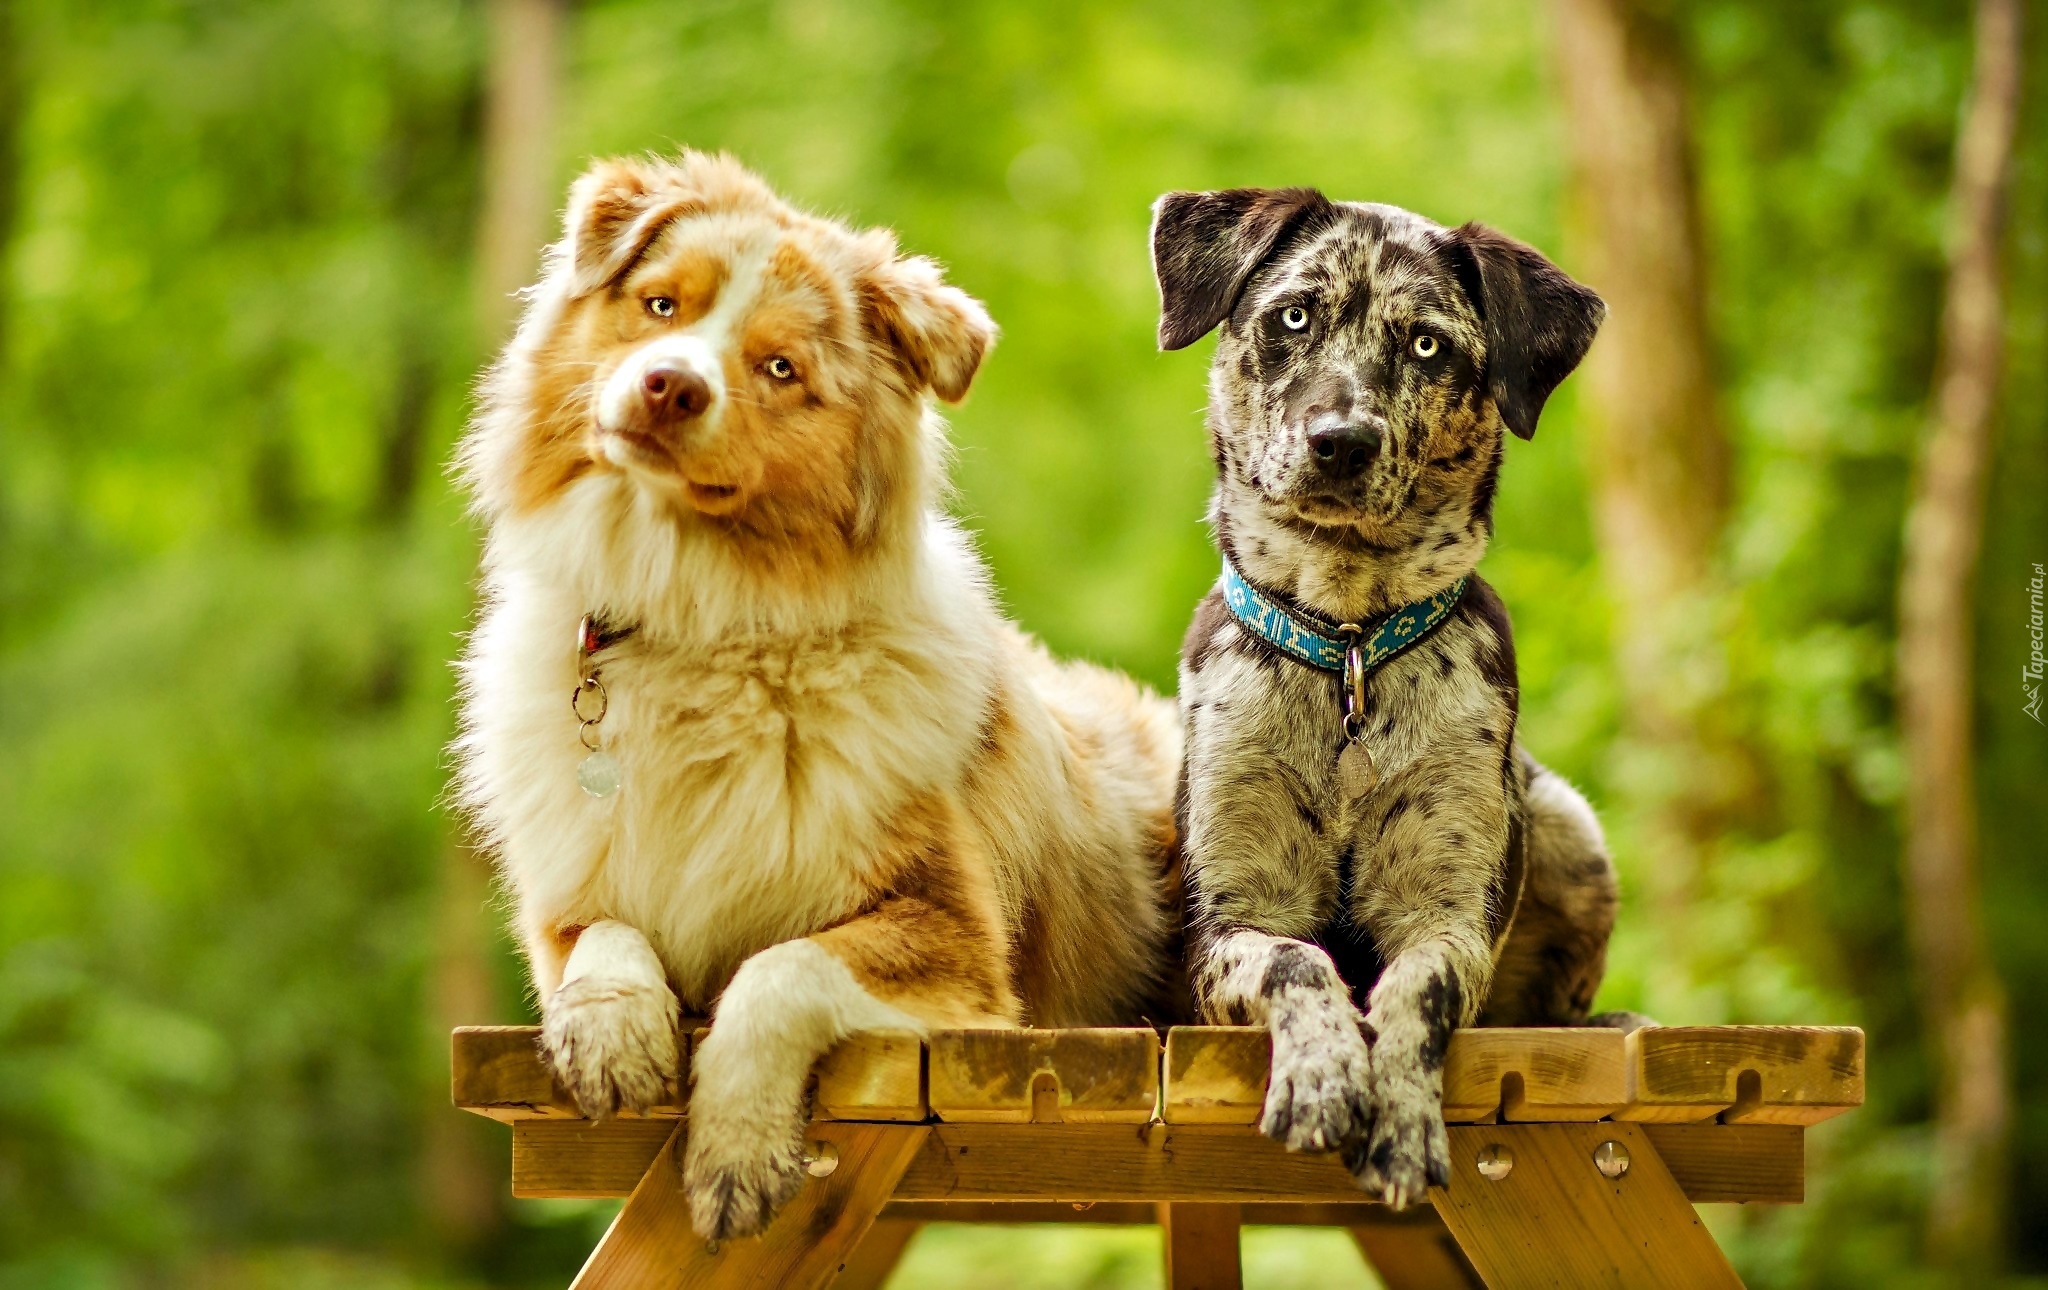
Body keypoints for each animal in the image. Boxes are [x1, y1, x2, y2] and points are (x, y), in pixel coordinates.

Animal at [454, 151, 1179, 1244]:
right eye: (660, 304)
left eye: (780, 369)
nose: (670, 385)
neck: (696, 623)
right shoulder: (567, 907)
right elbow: (609, 941)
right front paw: (613, 1034)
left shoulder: (956, 942)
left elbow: (781, 968)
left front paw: (737, 1151)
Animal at [1155, 189, 1630, 1212]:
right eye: (1295, 315)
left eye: (1426, 344)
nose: (1342, 440)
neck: (1348, 648)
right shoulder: (1228, 920)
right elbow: (1298, 960)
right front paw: (1325, 1076)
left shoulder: (1450, 914)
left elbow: (1420, 990)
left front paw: (1405, 1126)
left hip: (1567, 826)